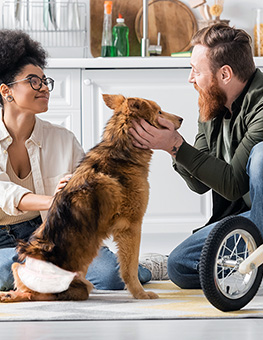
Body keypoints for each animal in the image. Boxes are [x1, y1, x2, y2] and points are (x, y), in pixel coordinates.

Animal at [0, 93, 183, 302]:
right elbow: (130, 268)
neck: (120, 149)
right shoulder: (131, 226)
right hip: (80, 286)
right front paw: (140, 294)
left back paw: (8, 294)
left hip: (19, 265)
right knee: (37, 295)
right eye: (159, 111)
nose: (181, 119)